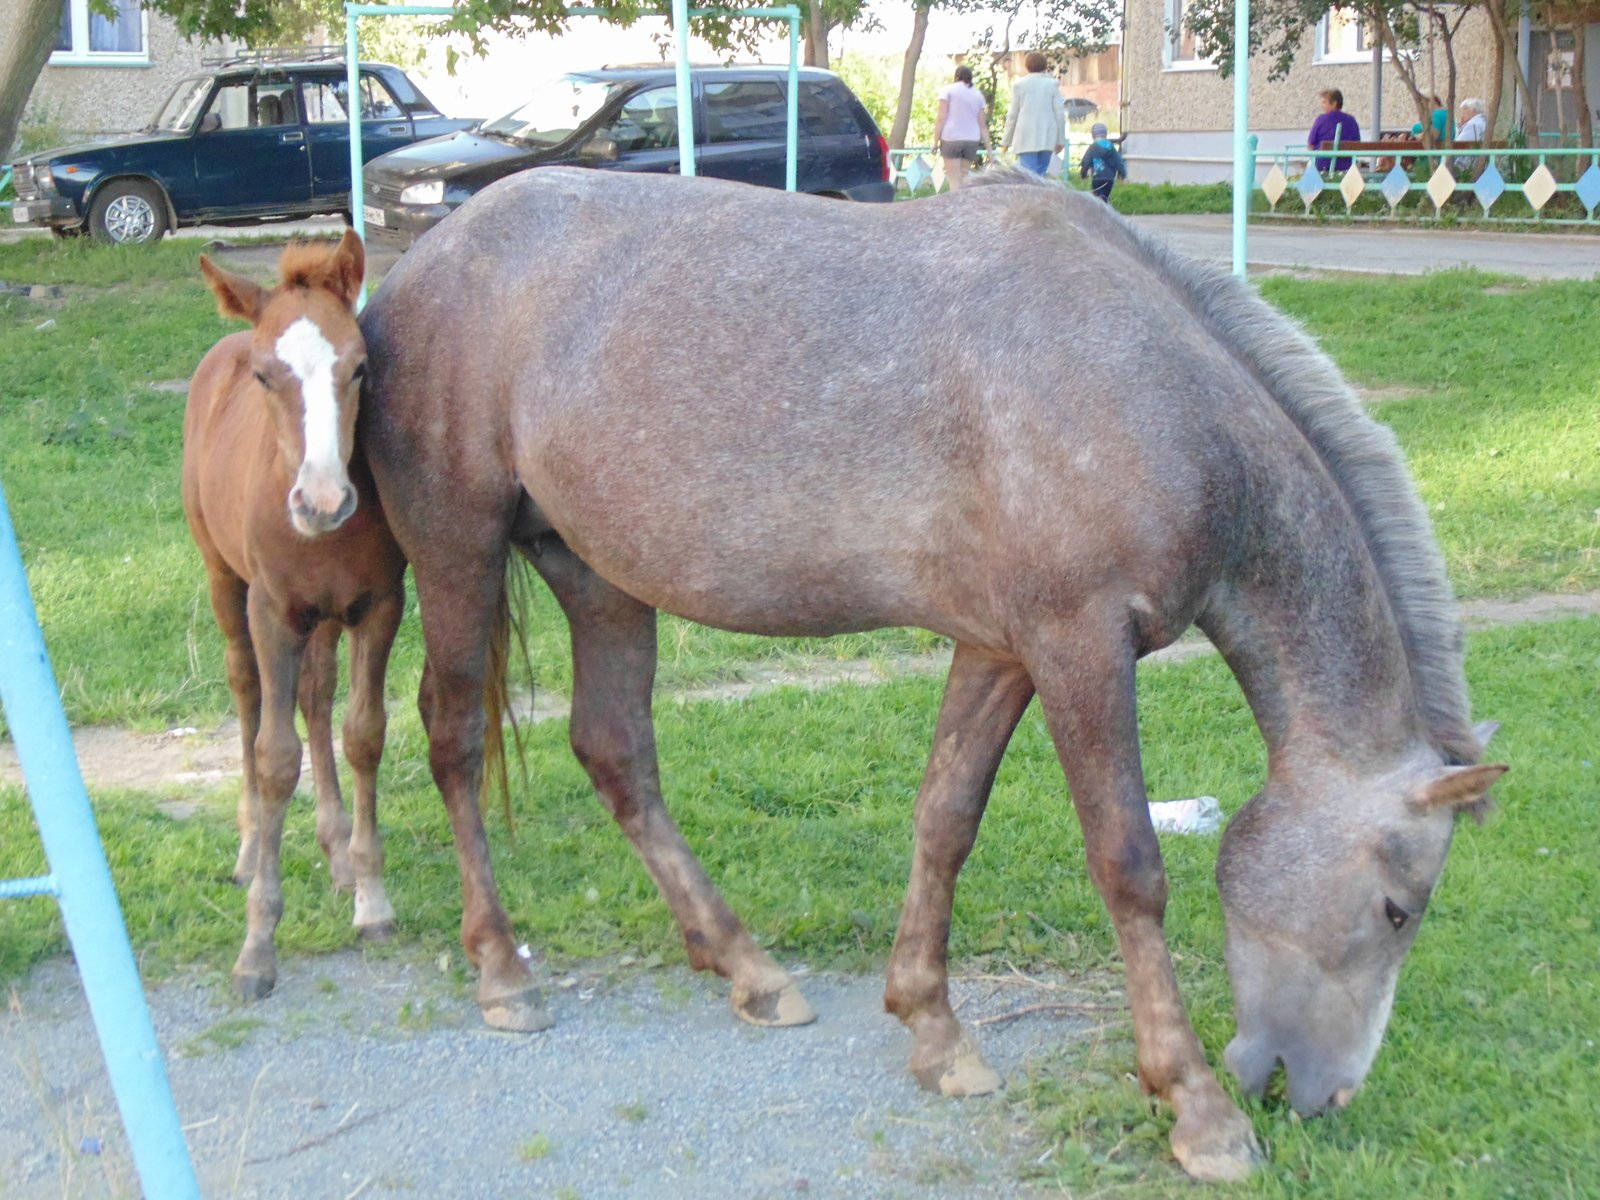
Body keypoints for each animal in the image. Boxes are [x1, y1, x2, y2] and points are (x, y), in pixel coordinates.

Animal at [183, 232, 406, 1001]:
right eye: (263, 376)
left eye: (360, 365)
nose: (322, 501)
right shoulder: (273, 611)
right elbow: (274, 757)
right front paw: (257, 946)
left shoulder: (378, 606)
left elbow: (362, 734)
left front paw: (372, 900)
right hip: (227, 585)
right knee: (248, 693)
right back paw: (251, 847)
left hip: (325, 617)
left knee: (314, 694)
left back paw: (335, 853)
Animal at [354, 167, 1506, 1182]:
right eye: (1398, 908)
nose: (1315, 1093)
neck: (1150, 387)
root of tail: (414, 268)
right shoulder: (1079, 646)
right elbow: (1129, 865)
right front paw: (1198, 1111)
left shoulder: (1000, 651)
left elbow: (946, 818)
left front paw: (932, 1028)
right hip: (458, 553)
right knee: (453, 740)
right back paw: (501, 972)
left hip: (595, 576)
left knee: (614, 752)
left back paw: (747, 968)